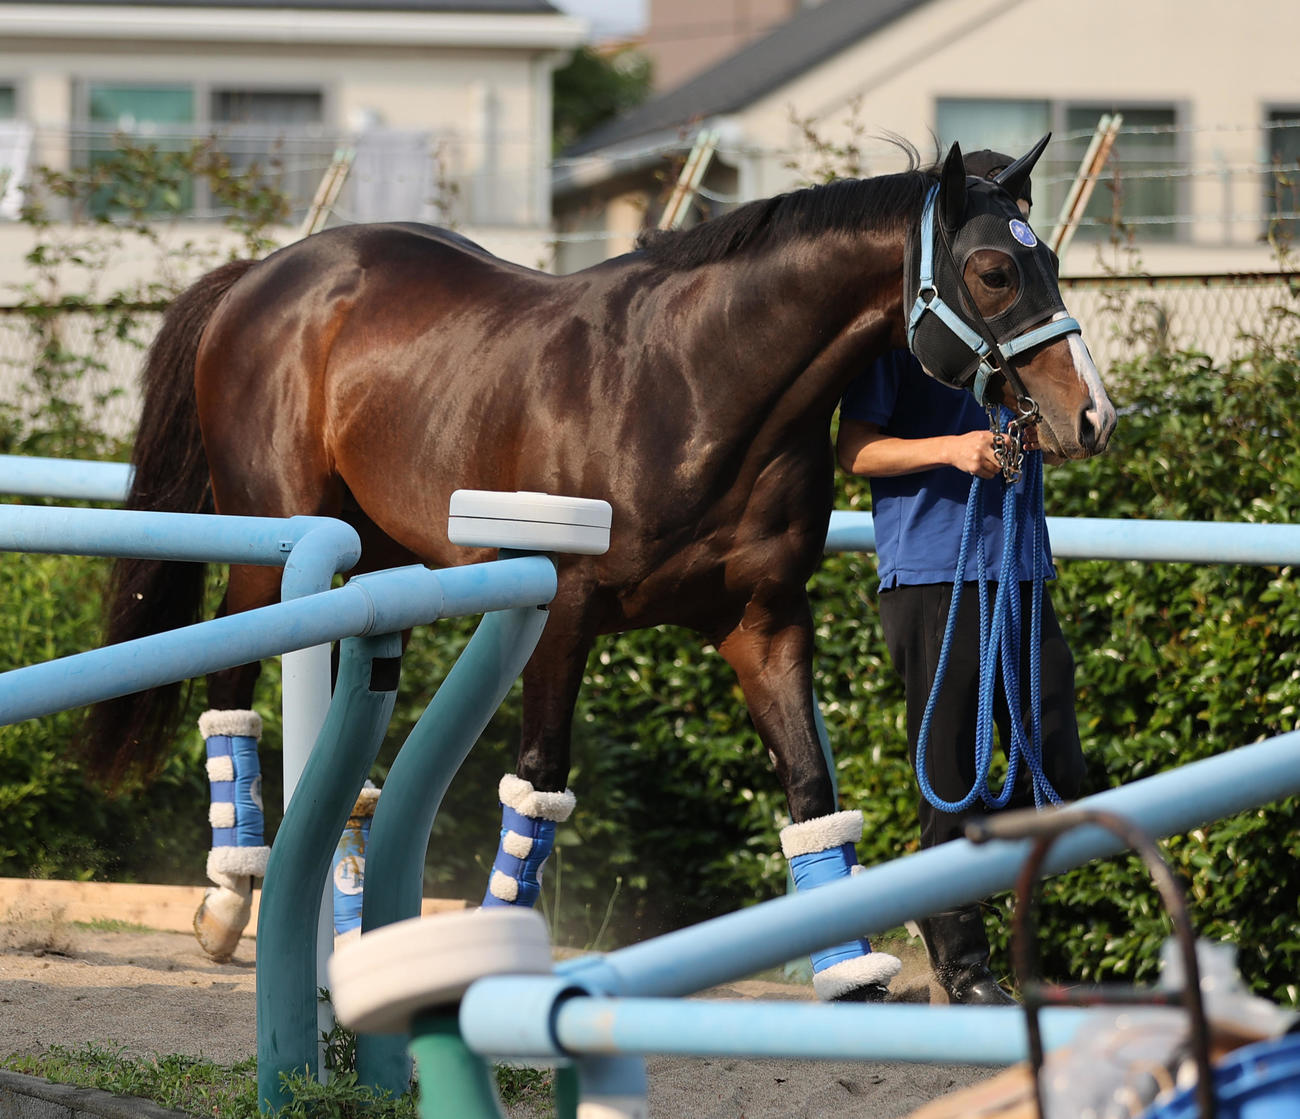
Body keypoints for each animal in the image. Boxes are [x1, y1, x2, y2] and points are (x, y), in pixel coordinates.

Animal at [87, 137, 1115, 991]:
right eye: (992, 270)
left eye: (1052, 264)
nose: (1091, 416)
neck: (693, 386)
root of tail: (265, 274)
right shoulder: (563, 613)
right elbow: (538, 787)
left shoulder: (764, 621)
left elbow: (810, 792)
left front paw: (850, 972)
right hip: (273, 549)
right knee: (232, 684)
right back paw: (227, 902)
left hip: (373, 559)